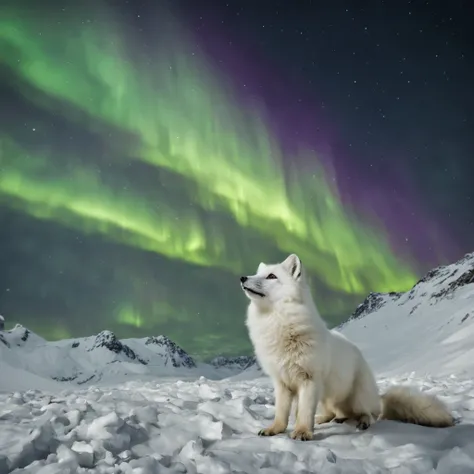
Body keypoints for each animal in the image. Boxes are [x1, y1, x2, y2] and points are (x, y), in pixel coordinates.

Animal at [241, 254, 456, 442]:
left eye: (271, 276)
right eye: (257, 273)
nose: (243, 278)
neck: (278, 324)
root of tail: (377, 396)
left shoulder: (309, 380)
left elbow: (304, 413)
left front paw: (302, 432)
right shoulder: (282, 382)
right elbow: (281, 414)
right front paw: (274, 430)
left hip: (356, 397)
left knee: (370, 414)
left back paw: (362, 422)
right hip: (327, 397)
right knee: (334, 413)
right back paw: (329, 419)